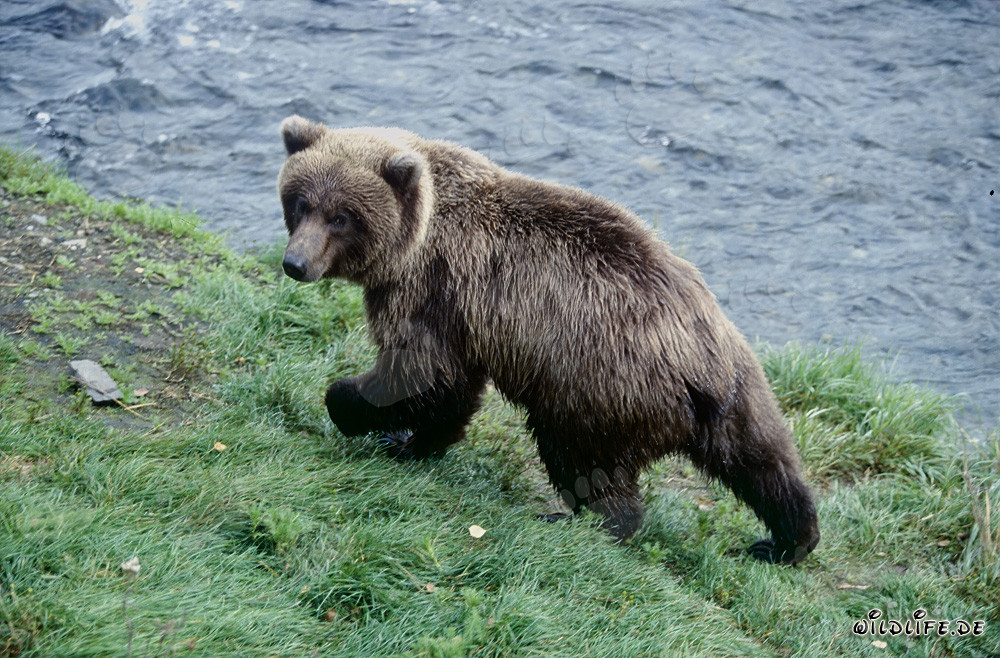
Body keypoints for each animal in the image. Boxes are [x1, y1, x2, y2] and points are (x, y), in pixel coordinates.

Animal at [276, 115, 820, 565]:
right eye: (300, 202)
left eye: (342, 216)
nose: (295, 263)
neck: (417, 236)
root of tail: (698, 368)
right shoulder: (461, 318)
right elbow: (452, 391)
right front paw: (412, 441)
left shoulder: (431, 290)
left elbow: (421, 375)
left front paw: (353, 408)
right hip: (739, 381)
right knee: (763, 460)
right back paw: (786, 540)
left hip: (595, 383)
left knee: (583, 458)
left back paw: (584, 520)